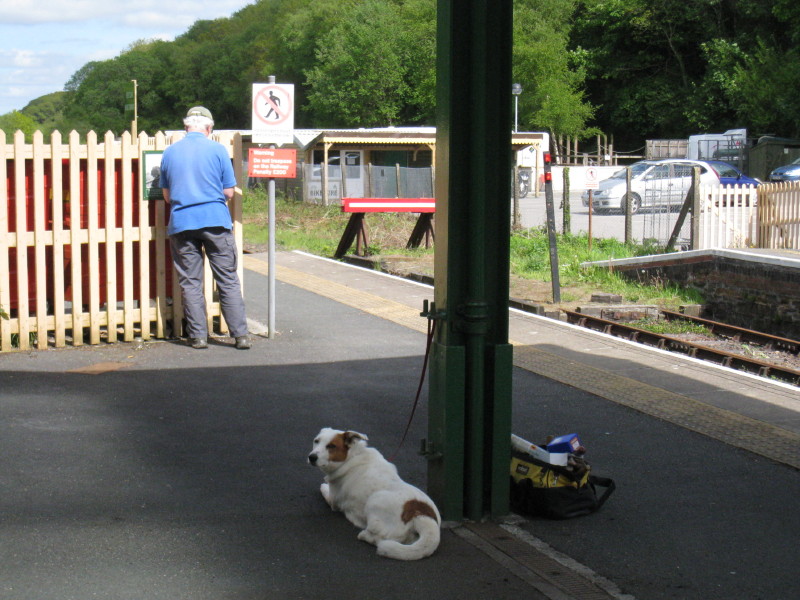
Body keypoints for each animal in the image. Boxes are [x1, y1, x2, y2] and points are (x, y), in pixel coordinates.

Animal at [308, 426, 444, 556]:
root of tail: (421, 515)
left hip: (375, 500)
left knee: (379, 538)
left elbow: (324, 489)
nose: (312, 457)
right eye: (316, 441)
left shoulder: (333, 500)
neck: (352, 456)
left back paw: (364, 534)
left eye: (331, 446)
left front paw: (323, 485)